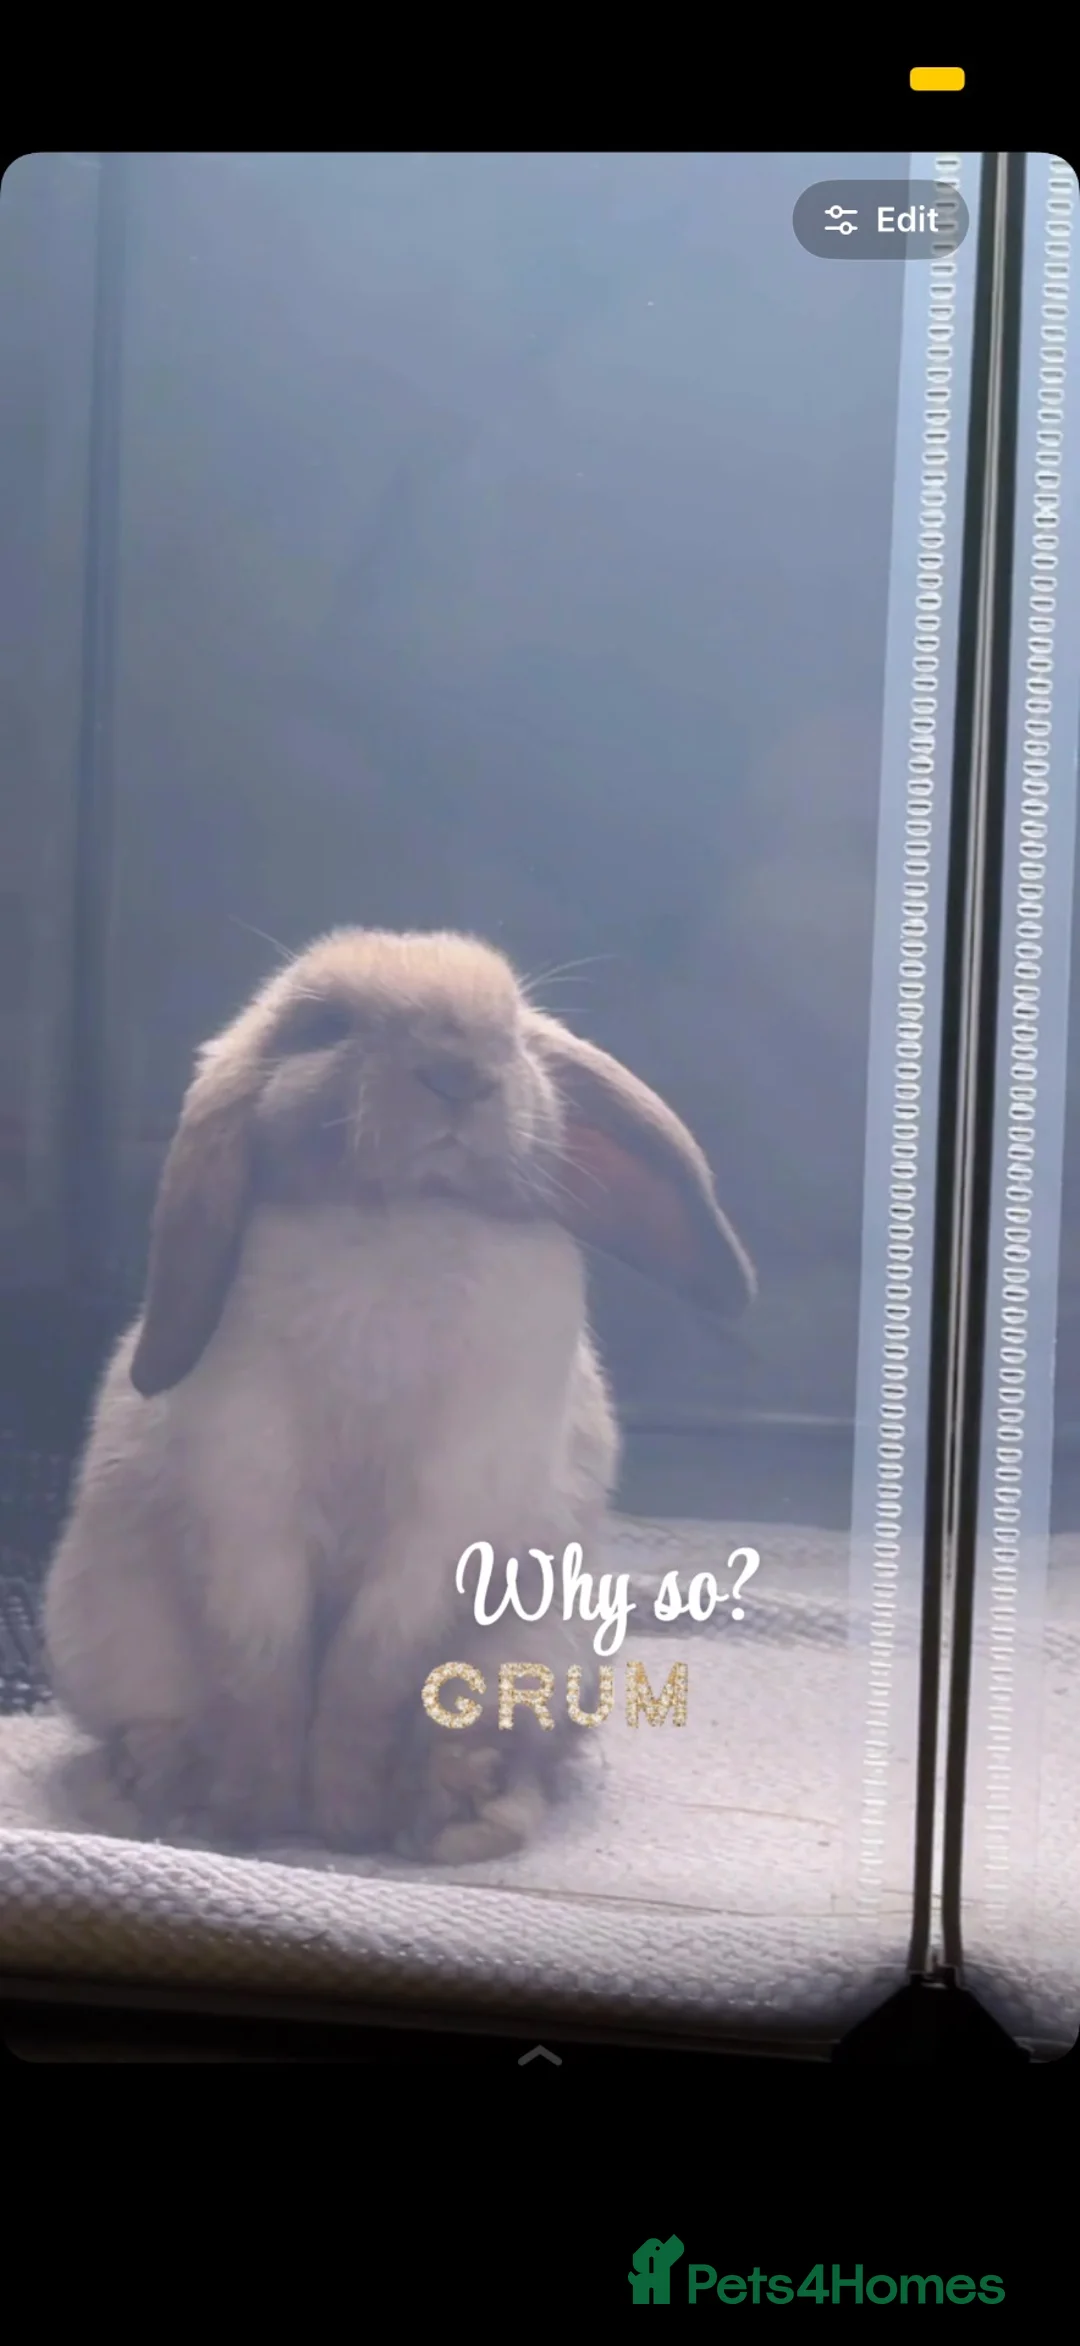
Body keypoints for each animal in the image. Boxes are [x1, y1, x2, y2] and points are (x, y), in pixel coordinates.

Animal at [42, 927, 755, 1863]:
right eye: (326, 1026)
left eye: (515, 1033)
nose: (460, 1071)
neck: (400, 1219)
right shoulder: (247, 1499)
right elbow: (263, 1669)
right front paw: (254, 1813)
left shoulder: (447, 1519)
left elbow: (369, 1671)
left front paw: (344, 1817)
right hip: (109, 1631)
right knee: (146, 1721)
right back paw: (155, 1796)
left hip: (540, 1650)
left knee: (511, 1746)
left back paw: (459, 1814)